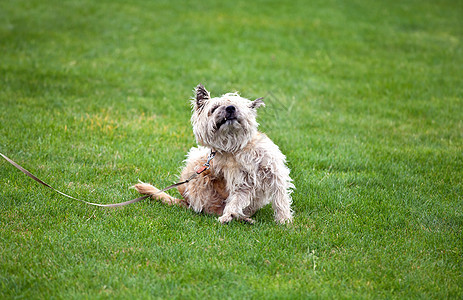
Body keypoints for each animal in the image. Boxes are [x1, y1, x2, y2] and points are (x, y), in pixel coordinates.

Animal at [134, 84, 294, 223]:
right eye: (215, 108)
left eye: (236, 105)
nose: (230, 108)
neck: (236, 147)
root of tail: (186, 201)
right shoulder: (241, 184)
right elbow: (235, 201)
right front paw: (227, 216)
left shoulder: (274, 174)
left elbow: (281, 199)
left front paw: (284, 221)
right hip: (196, 165)